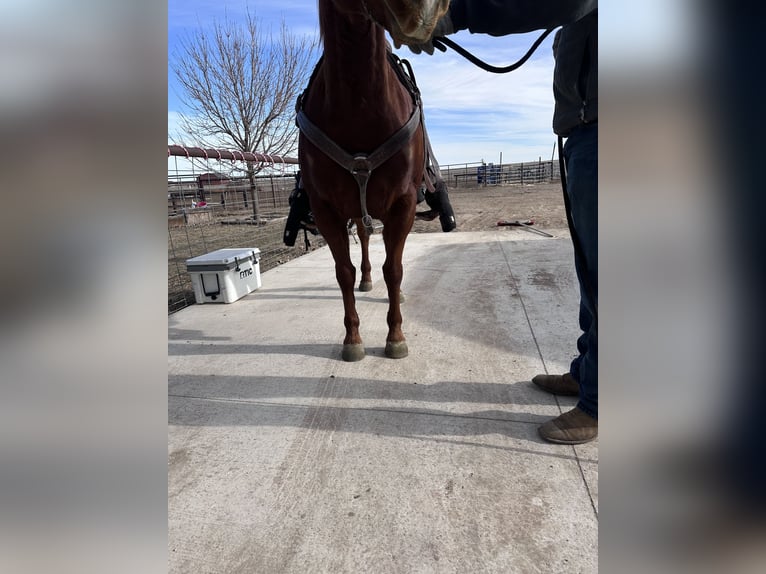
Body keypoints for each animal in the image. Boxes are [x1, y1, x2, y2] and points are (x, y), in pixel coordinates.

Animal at [296, 0, 450, 362]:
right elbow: (344, 272)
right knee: (365, 238)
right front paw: (352, 339)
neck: (359, 109)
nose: (425, 10)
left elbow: (394, 270)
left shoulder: (403, 204)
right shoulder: (326, 210)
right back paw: (366, 280)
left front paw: (395, 337)